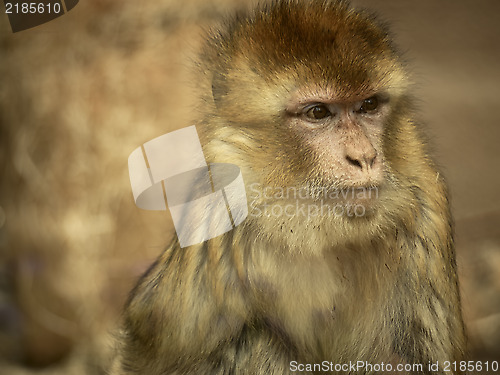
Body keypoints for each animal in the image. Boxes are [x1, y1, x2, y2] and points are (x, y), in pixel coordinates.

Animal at [111, 0, 466, 375]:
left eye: (368, 106)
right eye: (318, 112)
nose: (364, 157)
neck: (314, 232)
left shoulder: (426, 204)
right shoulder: (220, 212)